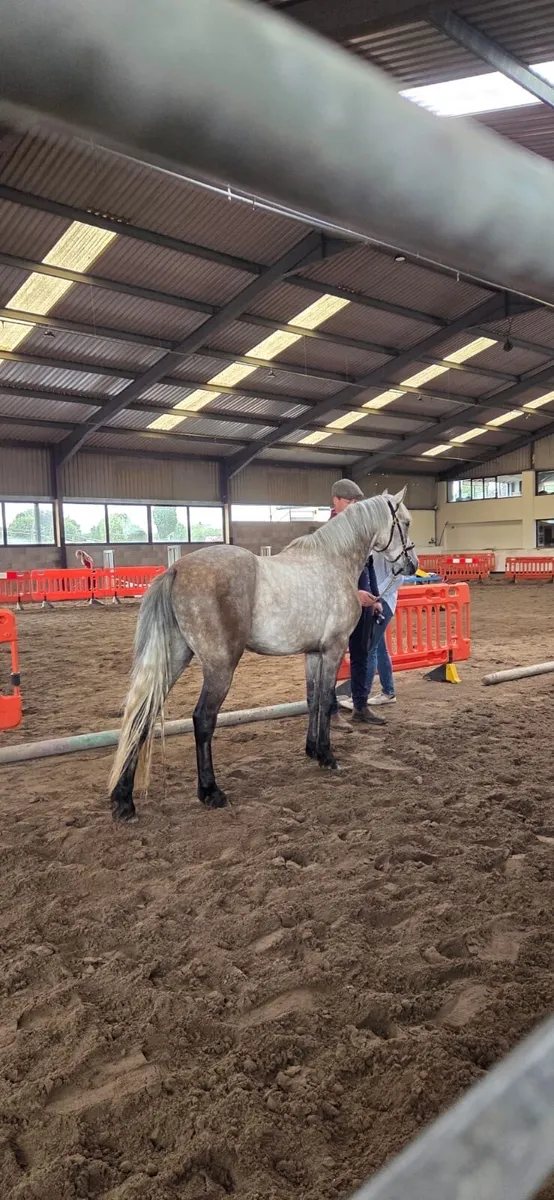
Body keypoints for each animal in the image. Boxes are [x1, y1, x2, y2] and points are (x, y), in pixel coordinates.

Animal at [109, 489, 417, 821]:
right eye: (406, 522)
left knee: (142, 717)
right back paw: (210, 791)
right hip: (220, 667)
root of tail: (175, 569)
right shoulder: (333, 649)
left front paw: (311, 750)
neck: (332, 562)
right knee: (203, 719)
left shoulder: (312, 654)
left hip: (174, 659)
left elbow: (311, 700)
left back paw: (123, 800)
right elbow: (325, 700)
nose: (411, 564)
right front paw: (327, 755)